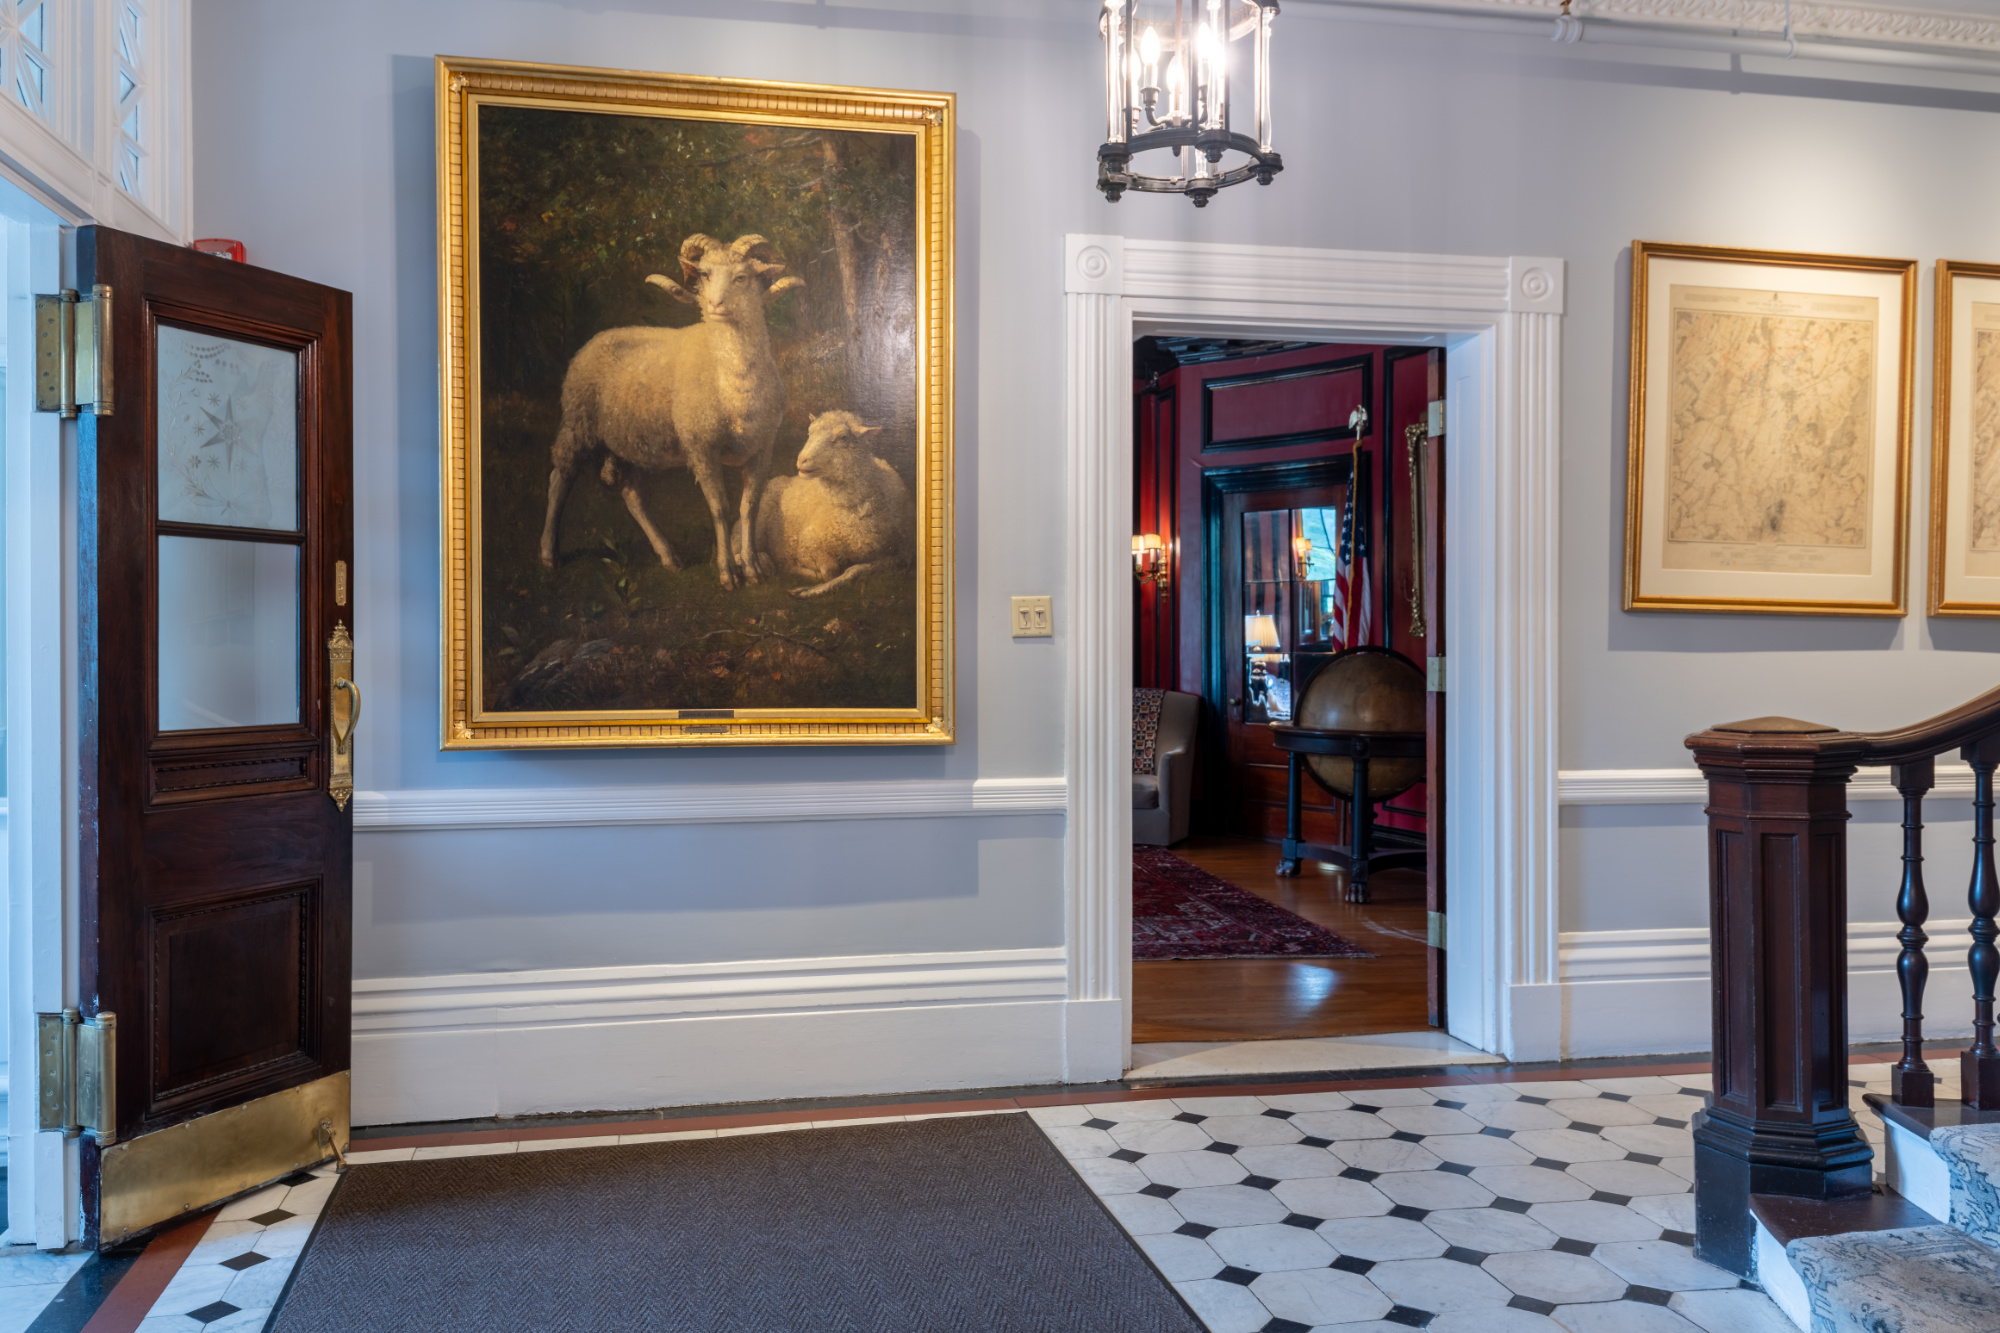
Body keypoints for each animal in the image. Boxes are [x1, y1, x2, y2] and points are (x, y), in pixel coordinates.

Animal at [744, 410, 916, 596]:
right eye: (809, 433)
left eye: (843, 437)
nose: (802, 459)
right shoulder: (808, 544)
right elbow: (829, 572)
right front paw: (808, 579)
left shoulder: (902, 555)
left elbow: (855, 570)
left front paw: (808, 589)